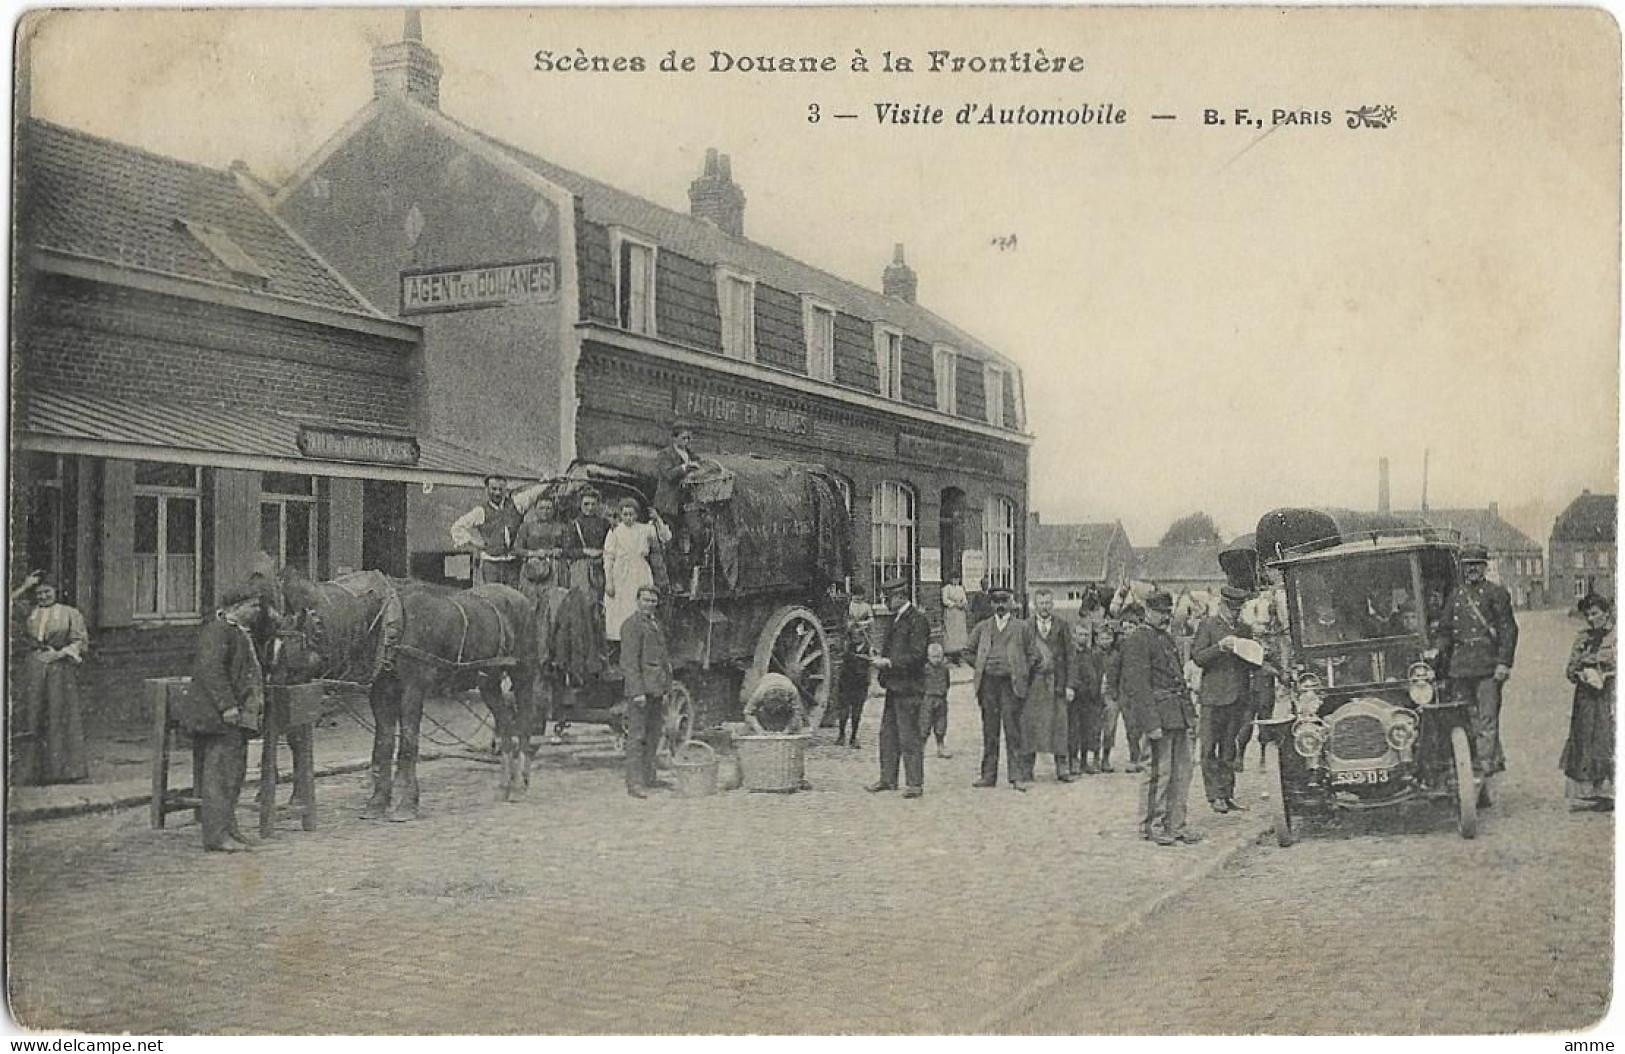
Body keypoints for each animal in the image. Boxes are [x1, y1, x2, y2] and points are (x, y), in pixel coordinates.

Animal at [273, 568, 539, 821]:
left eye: (312, 635)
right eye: (277, 638)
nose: (278, 690)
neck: (389, 620)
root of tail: (522, 598)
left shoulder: (414, 688)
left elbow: (409, 743)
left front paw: (406, 804)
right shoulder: (381, 692)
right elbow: (384, 744)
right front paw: (377, 802)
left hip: (523, 673)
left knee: (524, 723)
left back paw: (521, 785)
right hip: (488, 683)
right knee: (506, 723)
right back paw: (505, 786)